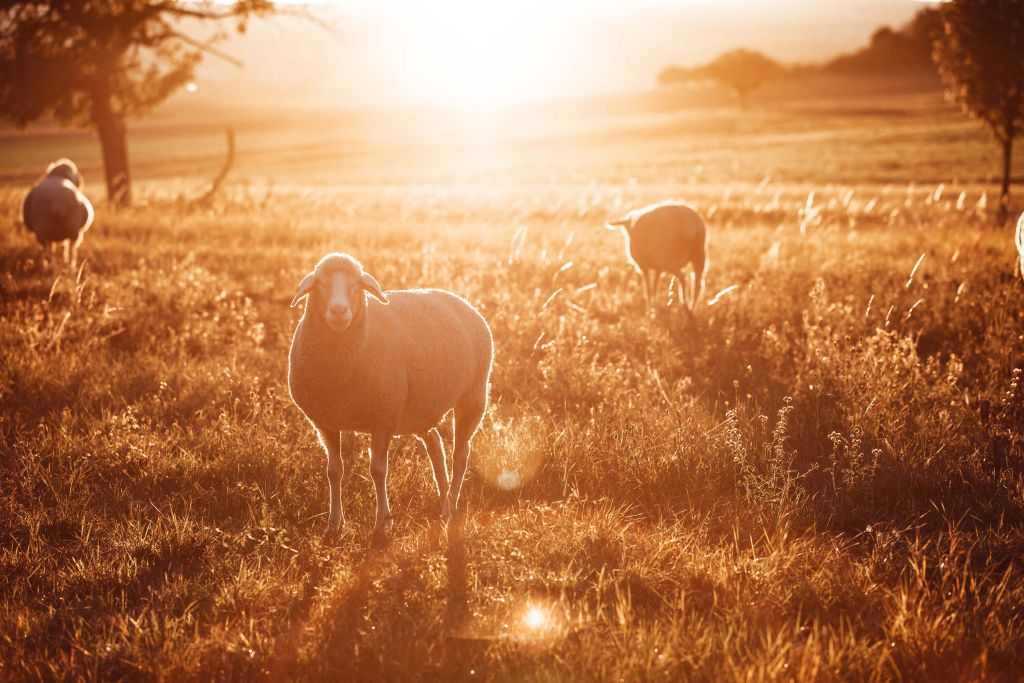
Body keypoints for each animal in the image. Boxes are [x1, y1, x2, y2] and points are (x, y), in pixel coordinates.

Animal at [288, 253, 495, 540]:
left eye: (357, 284)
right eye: (319, 283)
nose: (338, 311)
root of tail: (462, 301)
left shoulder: (384, 417)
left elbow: (377, 471)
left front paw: (382, 524)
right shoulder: (324, 422)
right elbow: (334, 471)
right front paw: (334, 524)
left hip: (473, 395)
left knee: (460, 454)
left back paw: (451, 505)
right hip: (420, 409)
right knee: (436, 446)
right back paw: (443, 502)